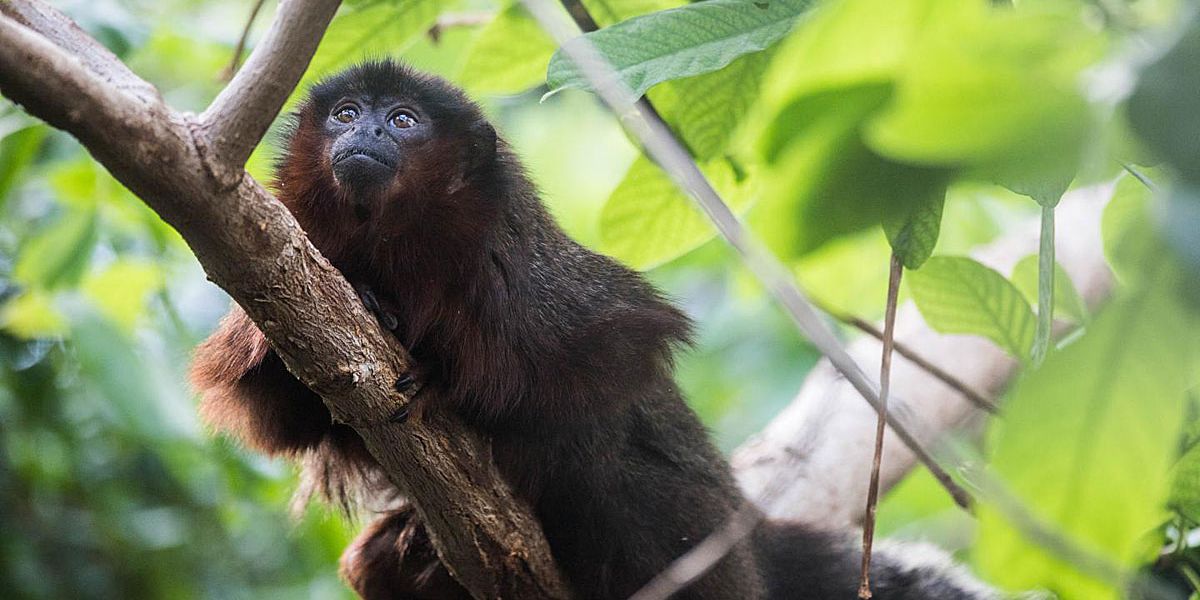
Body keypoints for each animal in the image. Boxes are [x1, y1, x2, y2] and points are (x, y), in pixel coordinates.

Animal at [187, 62, 993, 600]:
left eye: (404, 121)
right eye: (348, 113)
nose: (367, 132)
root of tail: (747, 523)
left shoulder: (529, 285)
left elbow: (599, 380)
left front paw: (444, 378)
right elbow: (281, 410)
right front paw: (358, 307)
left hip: (702, 537)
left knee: (613, 466)